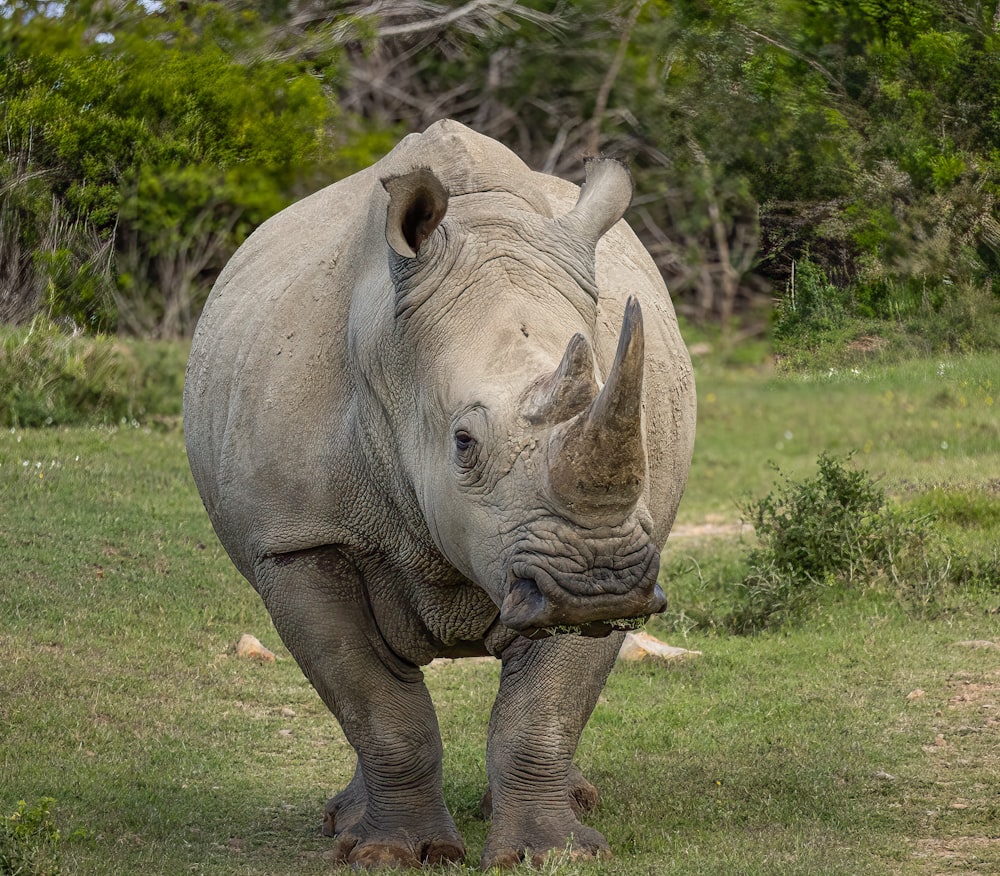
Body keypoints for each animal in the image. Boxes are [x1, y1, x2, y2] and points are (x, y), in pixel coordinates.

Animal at [184, 118, 696, 868]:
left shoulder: (627, 538)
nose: (596, 583)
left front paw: (552, 854)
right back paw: (344, 824)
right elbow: (375, 705)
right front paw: (392, 855)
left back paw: (575, 801)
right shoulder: (298, 539)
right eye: (464, 443)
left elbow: (544, 710)